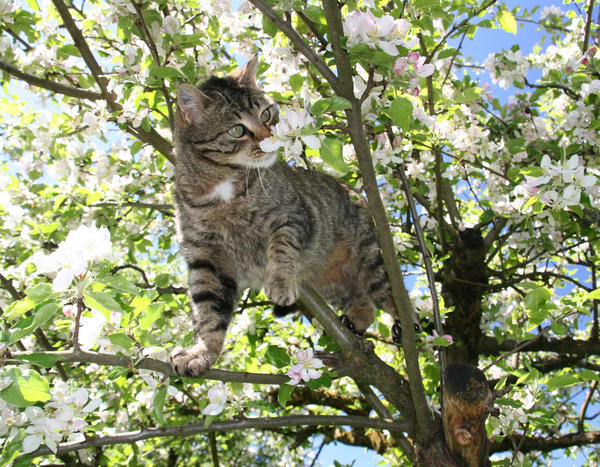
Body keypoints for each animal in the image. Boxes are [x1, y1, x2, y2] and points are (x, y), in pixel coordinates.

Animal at [171, 56, 410, 378]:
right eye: (237, 130)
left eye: (266, 113)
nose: (270, 136)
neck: (222, 187)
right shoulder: (206, 258)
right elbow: (209, 313)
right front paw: (201, 352)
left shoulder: (292, 215)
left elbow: (281, 248)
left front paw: (281, 282)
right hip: (332, 283)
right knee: (363, 302)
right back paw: (356, 319)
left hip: (371, 258)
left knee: (391, 295)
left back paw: (405, 324)